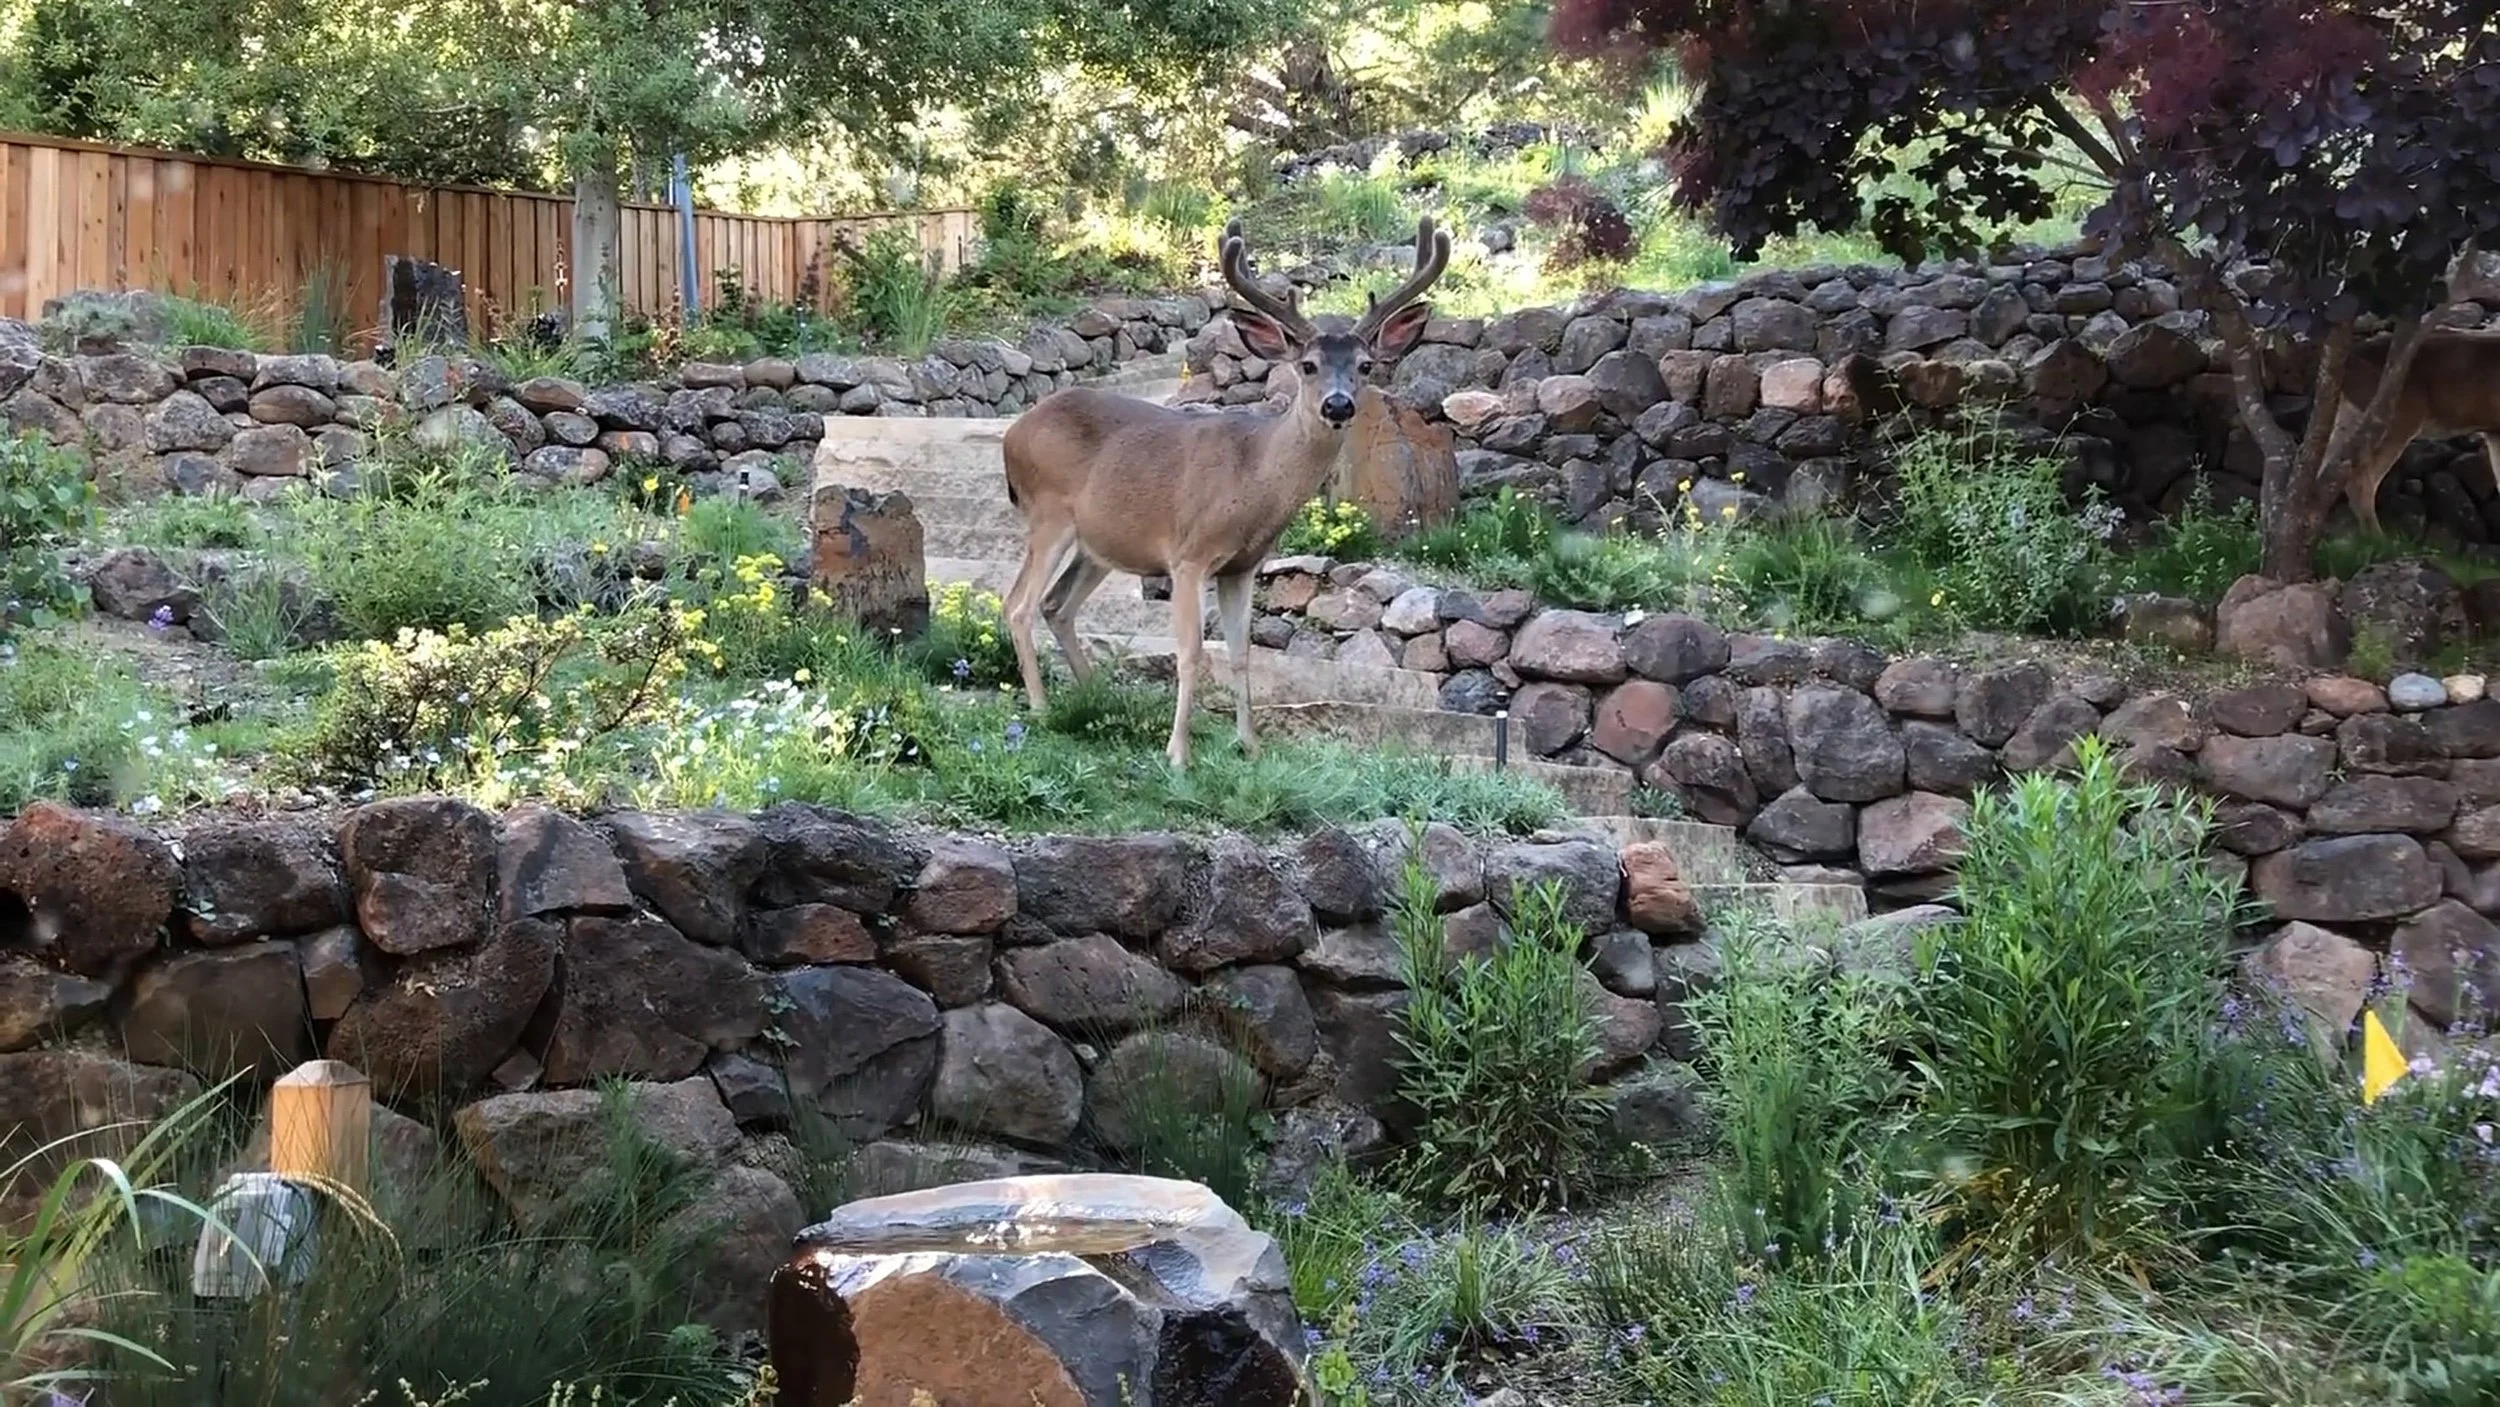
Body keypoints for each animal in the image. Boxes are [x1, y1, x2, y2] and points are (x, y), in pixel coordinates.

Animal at [997, 216, 1451, 768]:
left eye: (1365, 365)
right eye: (1307, 365)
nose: (1339, 405)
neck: (1251, 481)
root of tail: (1014, 433)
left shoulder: (1243, 566)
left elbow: (1241, 653)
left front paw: (1249, 744)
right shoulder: (1188, 555)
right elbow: (1191, 652)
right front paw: (1178, 753)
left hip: (1099, 542)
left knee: (1056, 606)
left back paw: (1100, 697)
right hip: (1048, 514)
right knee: (1018, 604)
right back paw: (1042, 708)